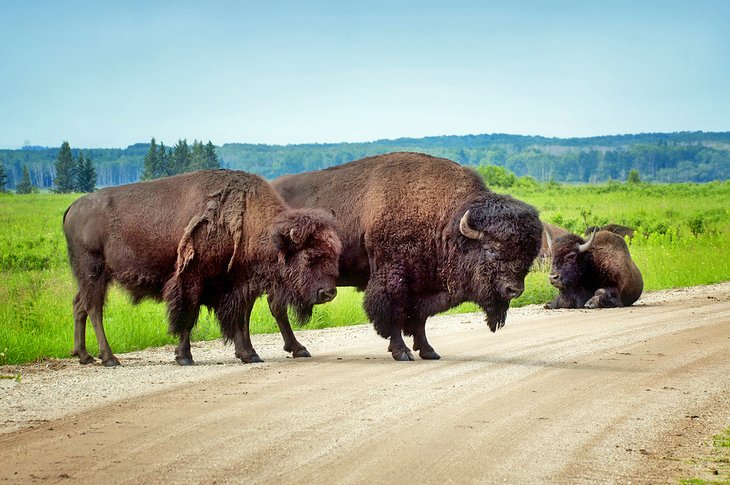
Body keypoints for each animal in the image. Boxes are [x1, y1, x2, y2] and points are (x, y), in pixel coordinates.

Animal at [62, 169, 342, 364]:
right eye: (309, 257)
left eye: (334, 255)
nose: (328, 293)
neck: (249, 221)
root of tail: (73, 207)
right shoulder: (193, 280)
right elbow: (188, 317)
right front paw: (184, 357)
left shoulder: (237, 284)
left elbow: (239, 318)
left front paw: (249, 354)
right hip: (93, 271)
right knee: (94, 308)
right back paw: (109, 358)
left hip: (88, 277)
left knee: (79, 305)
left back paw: (84, 356)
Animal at [268, 151, 540, 360]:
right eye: (491, 249)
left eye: (529, 254)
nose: (514, 290)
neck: (444, 221)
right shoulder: (394, 278)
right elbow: (394, 314)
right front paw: (402, 352)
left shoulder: (423, 284)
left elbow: (419, 318)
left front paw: (428, 351)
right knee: (277, 307)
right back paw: (299, 349)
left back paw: (296, 349)